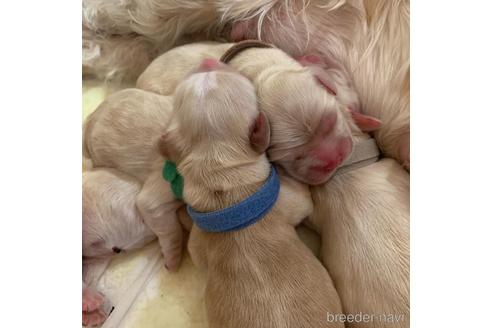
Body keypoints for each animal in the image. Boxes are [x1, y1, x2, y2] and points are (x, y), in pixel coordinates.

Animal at [160, 59, 342, 328]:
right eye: (238, 78)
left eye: (183, 91)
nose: (207, 61)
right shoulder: (285, 200)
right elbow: (304, 201)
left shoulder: (198, 240)